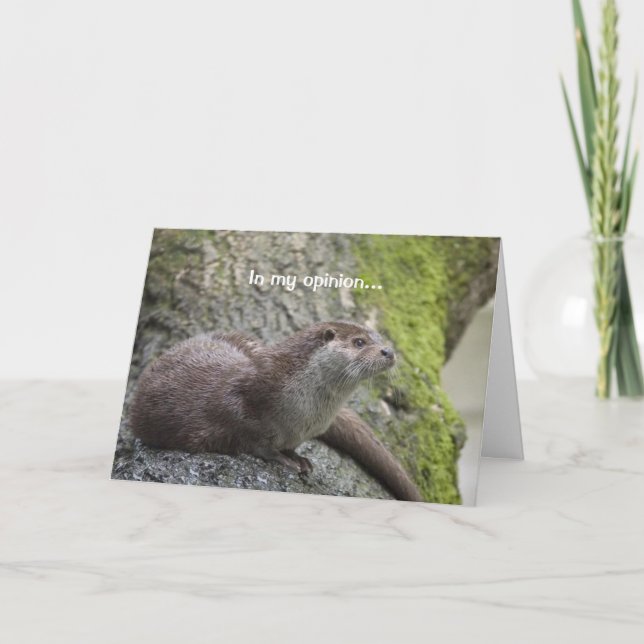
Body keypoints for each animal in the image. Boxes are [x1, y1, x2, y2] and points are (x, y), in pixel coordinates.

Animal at [129, 321, 423, 502]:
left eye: (380, 339)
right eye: (359, 342)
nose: (388, 351)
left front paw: (298, 456)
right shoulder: (241, 407)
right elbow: (254, 442)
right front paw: (285, 459)